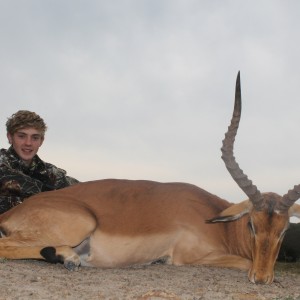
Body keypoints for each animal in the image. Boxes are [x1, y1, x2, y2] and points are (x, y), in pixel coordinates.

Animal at [0, 72, 298, 284]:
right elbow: (244, 262)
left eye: (284, 229)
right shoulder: (190, 256)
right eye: (252, 225)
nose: (262, 279)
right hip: (81, 223)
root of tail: (12, 213)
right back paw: (69, 257)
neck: (218, 225)